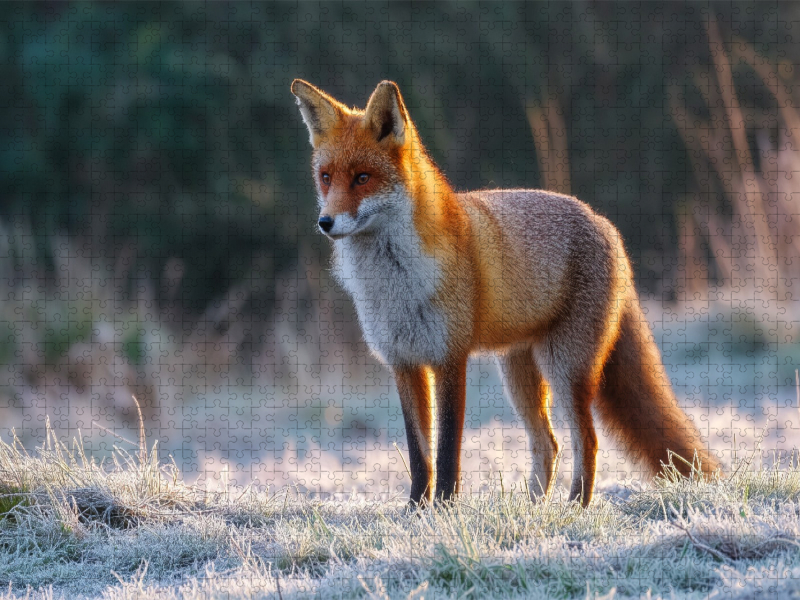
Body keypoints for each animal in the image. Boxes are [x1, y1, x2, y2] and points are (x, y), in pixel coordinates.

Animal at [291, 78, 720, 506]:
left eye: (362, 178)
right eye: (326, 177)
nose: (325, 222)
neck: (394, 284)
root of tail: (604, 223)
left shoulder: (450, 359)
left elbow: (447, 452)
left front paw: (444, 508)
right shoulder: (404, 363)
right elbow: (419, 456)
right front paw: (415, 510)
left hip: (565, 367)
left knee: (588, 441)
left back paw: (574, 508)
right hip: (518, 376)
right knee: (548, 443)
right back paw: (534, 508)